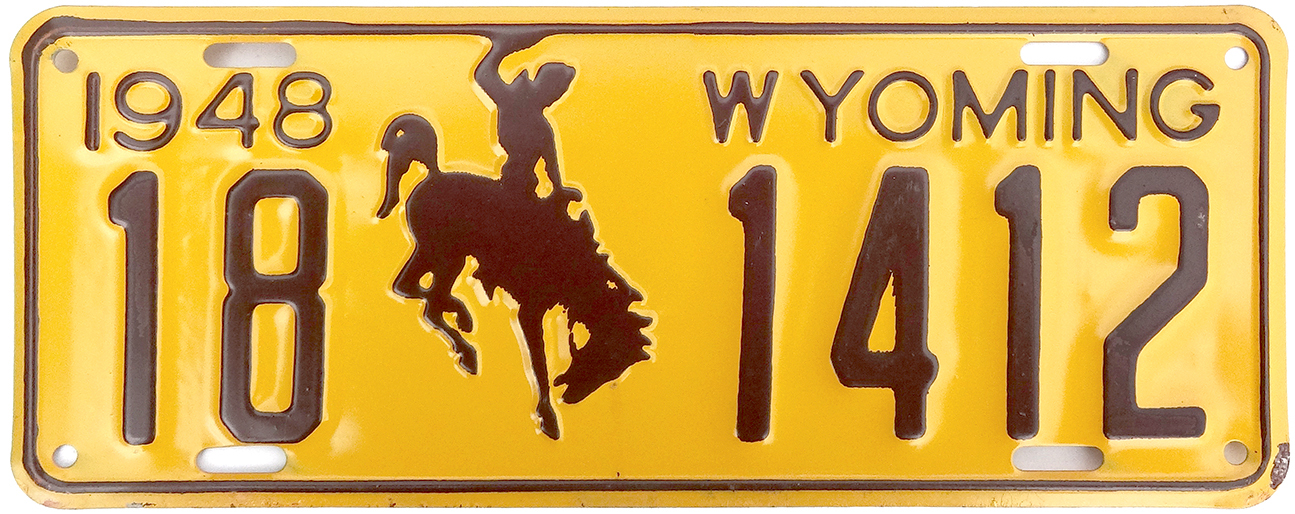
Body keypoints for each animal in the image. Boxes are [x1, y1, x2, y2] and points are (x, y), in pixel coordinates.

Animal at [376, 114, 653, 439]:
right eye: (608, 353)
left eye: (617, 368)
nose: (572, 398)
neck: (575, 266)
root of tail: (434, 174)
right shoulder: (529, 310)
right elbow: (539, 363)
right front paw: (548, 416)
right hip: (443, 253)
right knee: (417, 294)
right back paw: (465, 344)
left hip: (444, 254)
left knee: (417, 292)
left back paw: (460, 318)